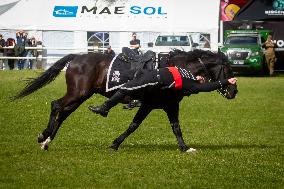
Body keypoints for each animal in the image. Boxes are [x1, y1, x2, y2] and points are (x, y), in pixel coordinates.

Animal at [13, 49, 240, 152]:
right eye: (229, 69)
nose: (234, 90)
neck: (176, 69)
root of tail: (77, 56)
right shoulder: (151, 104)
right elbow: (134, 126)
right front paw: (115, 144)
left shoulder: (167, 105)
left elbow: (174, 127)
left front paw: (184, 147)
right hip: (78, 93)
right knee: (57, 105)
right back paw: (44, 136)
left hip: (81, 96)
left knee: (64, 112)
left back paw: (47, 140)